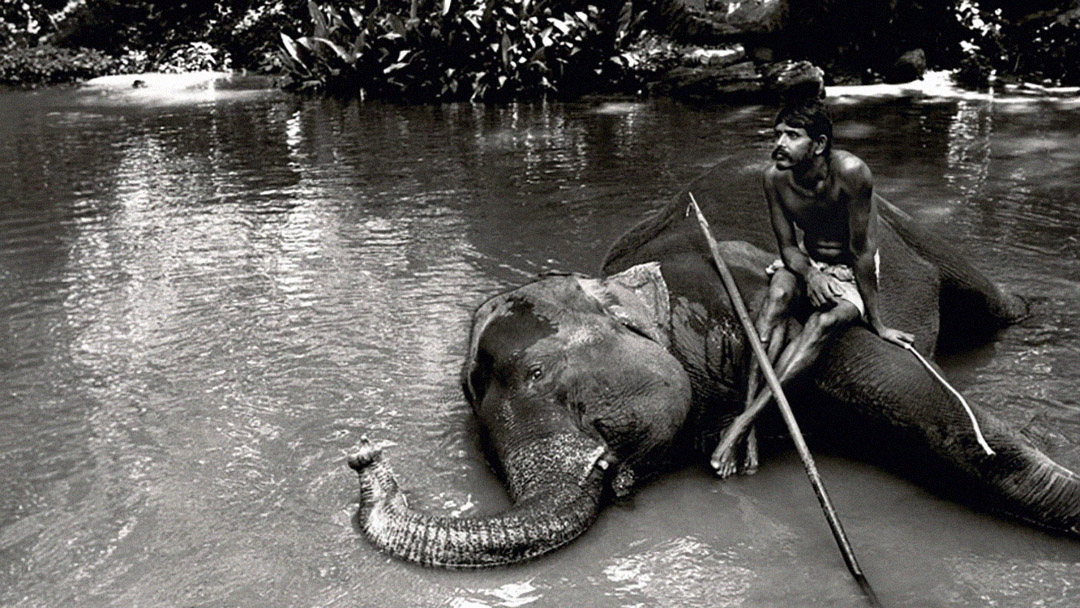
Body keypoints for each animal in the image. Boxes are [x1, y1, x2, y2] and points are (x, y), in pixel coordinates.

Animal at [347, 165, 1080, 569]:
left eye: (537, 378)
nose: (364, 455)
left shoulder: (770, 308)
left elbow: (962, 435)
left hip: (905, 224)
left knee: (994, 304)